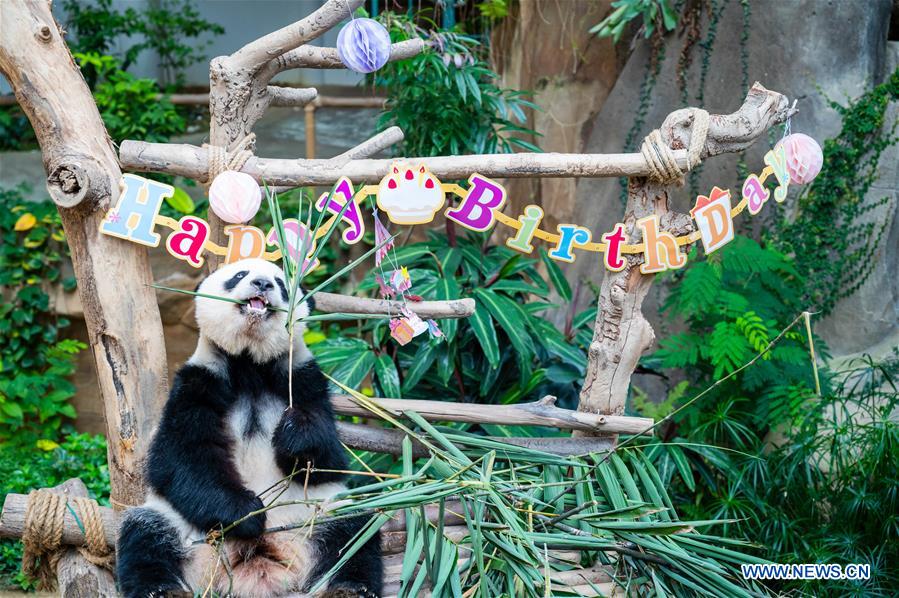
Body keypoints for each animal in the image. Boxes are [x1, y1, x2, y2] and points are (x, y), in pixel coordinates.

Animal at [116, 258, 382, 598]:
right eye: (239, 275)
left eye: (280, 283)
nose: (262, 284)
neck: (251, 363)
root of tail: (258, 566)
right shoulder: (199, 381)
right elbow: (180, 457)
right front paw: (247, 512)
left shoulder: (303, 378)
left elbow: (330, 460)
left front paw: (296, 433)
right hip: (185, 532)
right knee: (145, 533)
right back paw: (161, 590)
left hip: (316, 516)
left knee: (354, 531)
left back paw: (350, 587)